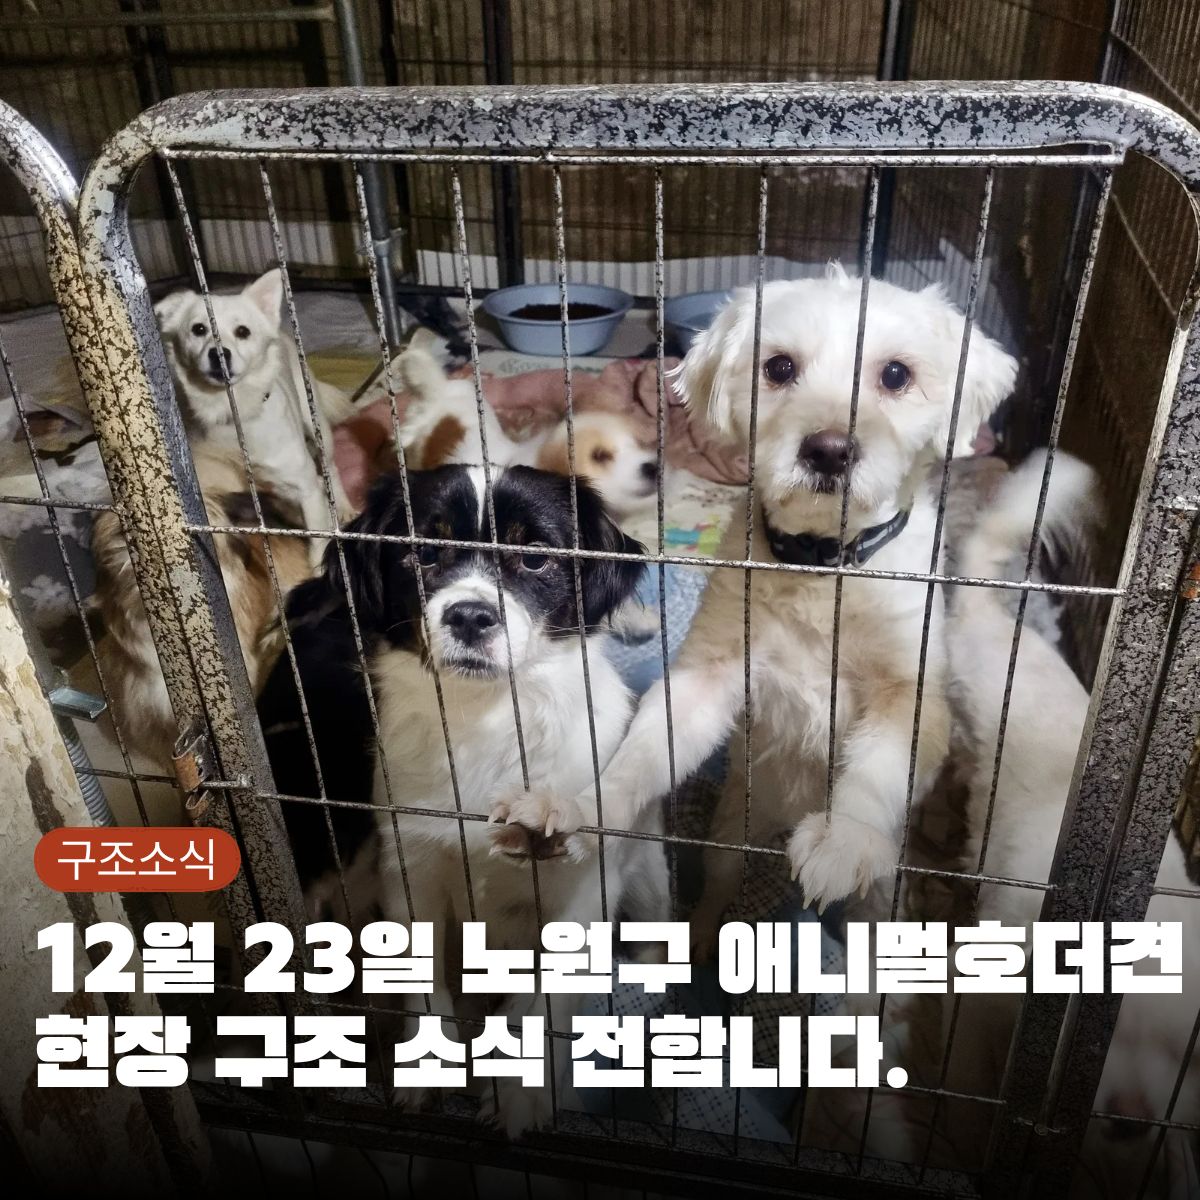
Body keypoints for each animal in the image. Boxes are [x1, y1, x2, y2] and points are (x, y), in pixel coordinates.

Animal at [155, 268, 357, 568]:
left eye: (243, 332)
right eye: (198, 329)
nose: (219, 353)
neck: (232, 413)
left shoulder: (305, 488)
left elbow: (318, 541)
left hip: (317, 425)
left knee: (330, 469)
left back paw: (343, 506)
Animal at [256, 464, 666, 1133]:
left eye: (535, 555)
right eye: (424, 551)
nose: (470, 616)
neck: (487, 719)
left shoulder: (579, 888)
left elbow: (543, 1001)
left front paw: (525, 1093)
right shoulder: (410, 865)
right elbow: (423, 980)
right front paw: (425, 1068)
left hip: (649, 873)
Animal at [490, 266, 1018, 927]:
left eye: (896, 375)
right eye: (780, 367)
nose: (828, 450)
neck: (820, 568)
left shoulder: (910, 692)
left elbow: (878, 768)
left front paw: (844, 836)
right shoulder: (705, 678)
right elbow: (640, 755)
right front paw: (585, 808)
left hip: (878, 901)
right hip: (728, 838)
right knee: (716, 895)